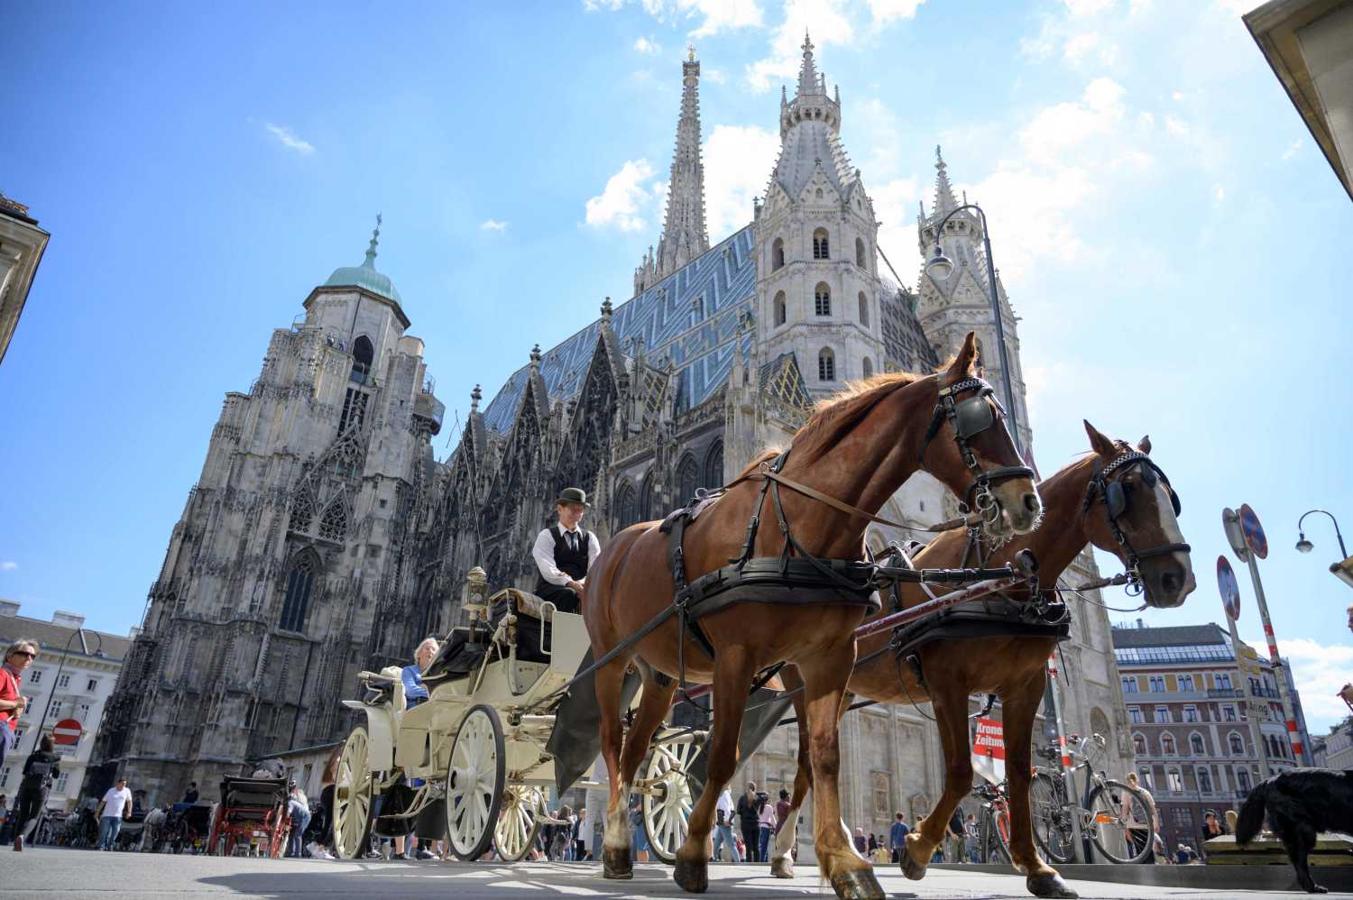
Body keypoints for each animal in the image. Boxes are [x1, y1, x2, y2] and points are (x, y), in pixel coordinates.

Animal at [587, 331, 1039, 898]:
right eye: (980, 417)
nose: (1029, 502)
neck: (799, 522)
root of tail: (614, 544)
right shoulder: (737, 658)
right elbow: (722, 755)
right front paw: (693, 856)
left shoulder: (827, 661)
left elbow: (823, 757)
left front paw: (848, 864)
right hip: (610, 660)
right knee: (611, 742)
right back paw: (616, 843)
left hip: (661, 673)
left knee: (635, 749)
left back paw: (620, 847)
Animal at [773, 422, 1196, 898]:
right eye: (1127, 489)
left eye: (1171, 495)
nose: (1179, 578)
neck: (1003, 575)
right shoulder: (946, 682)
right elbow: (959, 772)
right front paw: (917, 848)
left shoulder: (1025, 687)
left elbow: (1019, 775)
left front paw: (1037, 866)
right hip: (801, 684)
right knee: (806, 763)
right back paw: (793, 852)